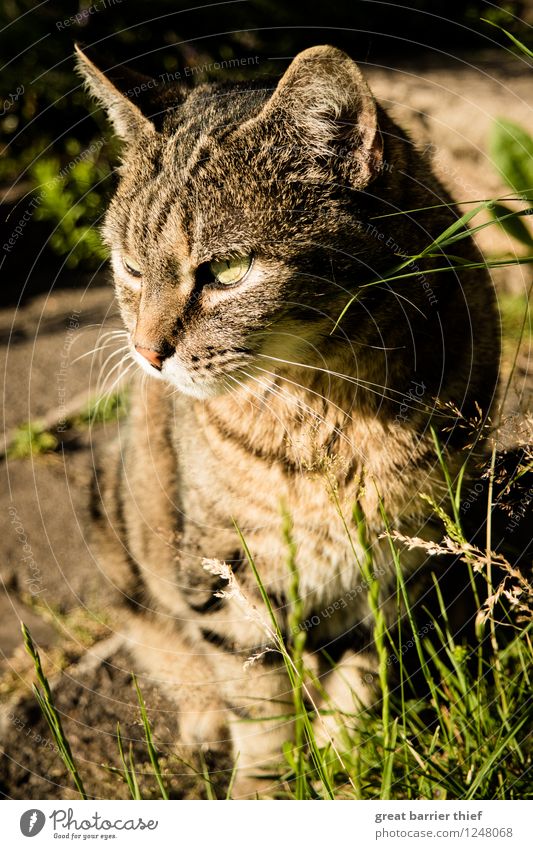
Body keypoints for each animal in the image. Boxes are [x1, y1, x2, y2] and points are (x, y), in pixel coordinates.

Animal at [76, 43, 498, 800]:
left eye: (228, 270)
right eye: (130, 268)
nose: (148, 352)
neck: (329, 410)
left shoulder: (402, 558)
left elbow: (361, 677)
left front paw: (343, 765)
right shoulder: (227, 573)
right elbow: (258, 702)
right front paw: (264, 787)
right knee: (167, 645)